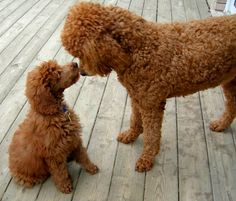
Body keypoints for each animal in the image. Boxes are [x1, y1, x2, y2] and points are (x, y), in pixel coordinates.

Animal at [8, 60, 97, 193]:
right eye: (57, 74)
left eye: (58, 66)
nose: (75, 64)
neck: (55, 114)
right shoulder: (54, 154)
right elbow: (60, 172)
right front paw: (65, 186)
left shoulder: (74, 140)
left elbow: (83, 156)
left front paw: (91, 167)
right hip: (30, 177)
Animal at [60, 2, 236, 172]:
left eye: (81, 53)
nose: (82, 72)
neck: (139, 49)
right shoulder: (138, 97)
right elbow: (135, 120)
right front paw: (131, 135)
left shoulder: (151, 104)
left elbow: (151, 136)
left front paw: (147, 159)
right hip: (230, 83)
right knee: (231, 108)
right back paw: (221, 125)